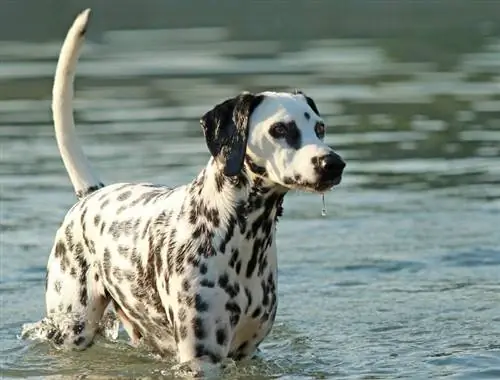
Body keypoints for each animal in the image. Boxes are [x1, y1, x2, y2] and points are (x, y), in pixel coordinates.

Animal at [37, 8, 346, 374]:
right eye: (280, 129)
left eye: (320, 128)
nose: (333, 163)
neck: (238, 238)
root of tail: (91, 195)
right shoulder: (202, 358)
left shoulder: (247, 354)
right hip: (73, 327)